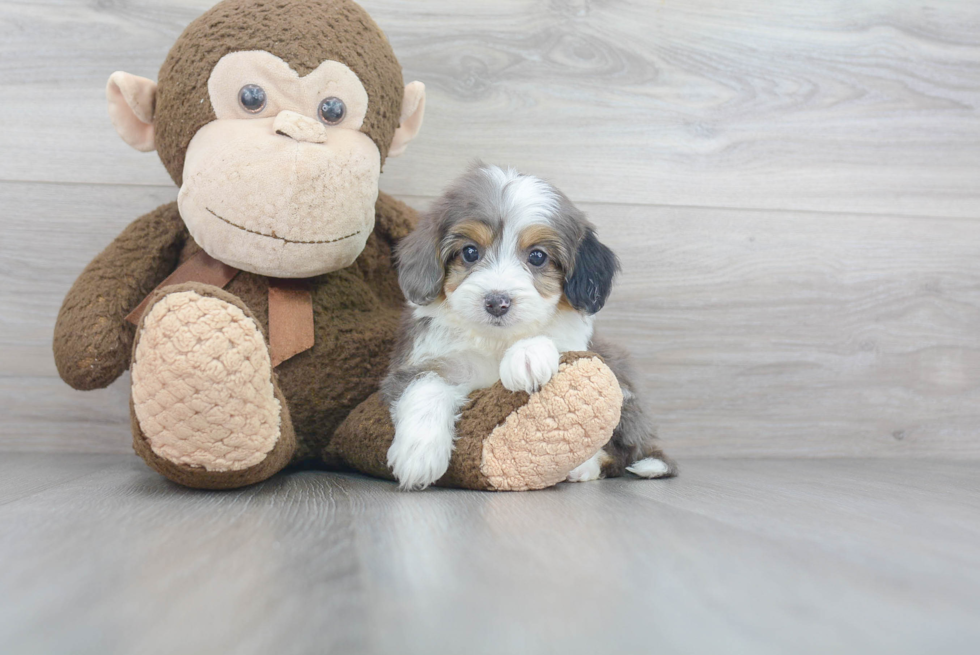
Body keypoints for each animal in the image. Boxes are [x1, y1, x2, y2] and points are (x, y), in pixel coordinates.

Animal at [380, 165, 672, 492]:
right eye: (470, 252)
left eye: (537, 256)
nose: (497, 302)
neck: (497, 341)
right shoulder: (424, 359)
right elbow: (425, 384)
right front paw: (419, 453)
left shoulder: (577, 342)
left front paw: (527, 355)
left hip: (622, 384)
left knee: (621, 453)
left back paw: (584, 467)